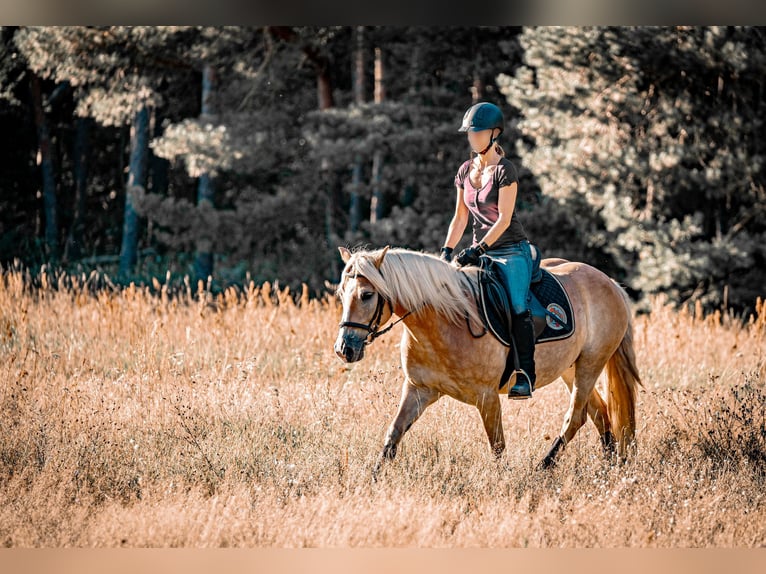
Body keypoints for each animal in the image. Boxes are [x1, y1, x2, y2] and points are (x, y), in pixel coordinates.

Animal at [336, 246, 640, 476]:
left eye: (366, 295)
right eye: (341, 294)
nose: (344, 349)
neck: (445, 320)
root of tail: (611, 283)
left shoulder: (487, 397)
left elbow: (497, 446)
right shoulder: (418, 389)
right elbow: (394, 434)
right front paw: (374, 478)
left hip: (591, 363)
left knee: (575, 417)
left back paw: (543, 467)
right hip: (570, 369)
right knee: (600, 413)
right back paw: (611, 465)